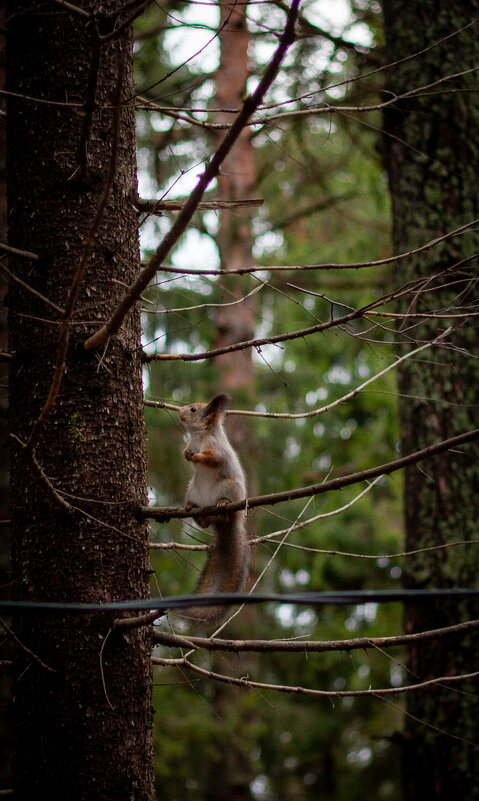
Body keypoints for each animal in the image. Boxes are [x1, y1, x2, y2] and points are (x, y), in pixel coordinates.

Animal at [178, 394, 249, 624]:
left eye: (193, 409)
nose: (179, 411)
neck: (199, 436)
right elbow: (187, 449)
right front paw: (186, 451)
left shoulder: (217, 449)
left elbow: (212, 457)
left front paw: (196, 456)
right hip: (193, 489)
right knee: (206, 521)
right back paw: (193, 509)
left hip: (229, 487)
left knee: (226, 512)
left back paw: (223, 505)